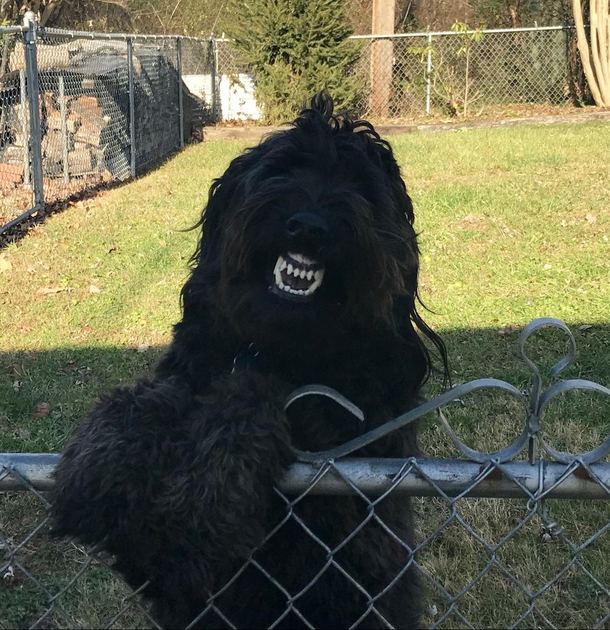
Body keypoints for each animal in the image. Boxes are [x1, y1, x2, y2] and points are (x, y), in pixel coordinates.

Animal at [51, 94, 442, 630]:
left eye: (362, 187)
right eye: (284, 168)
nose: (309, 225)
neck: (278, 347)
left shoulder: (356, 508)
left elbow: (255, 397)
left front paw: (205, 496)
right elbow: (154, 396)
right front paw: (106, 456)